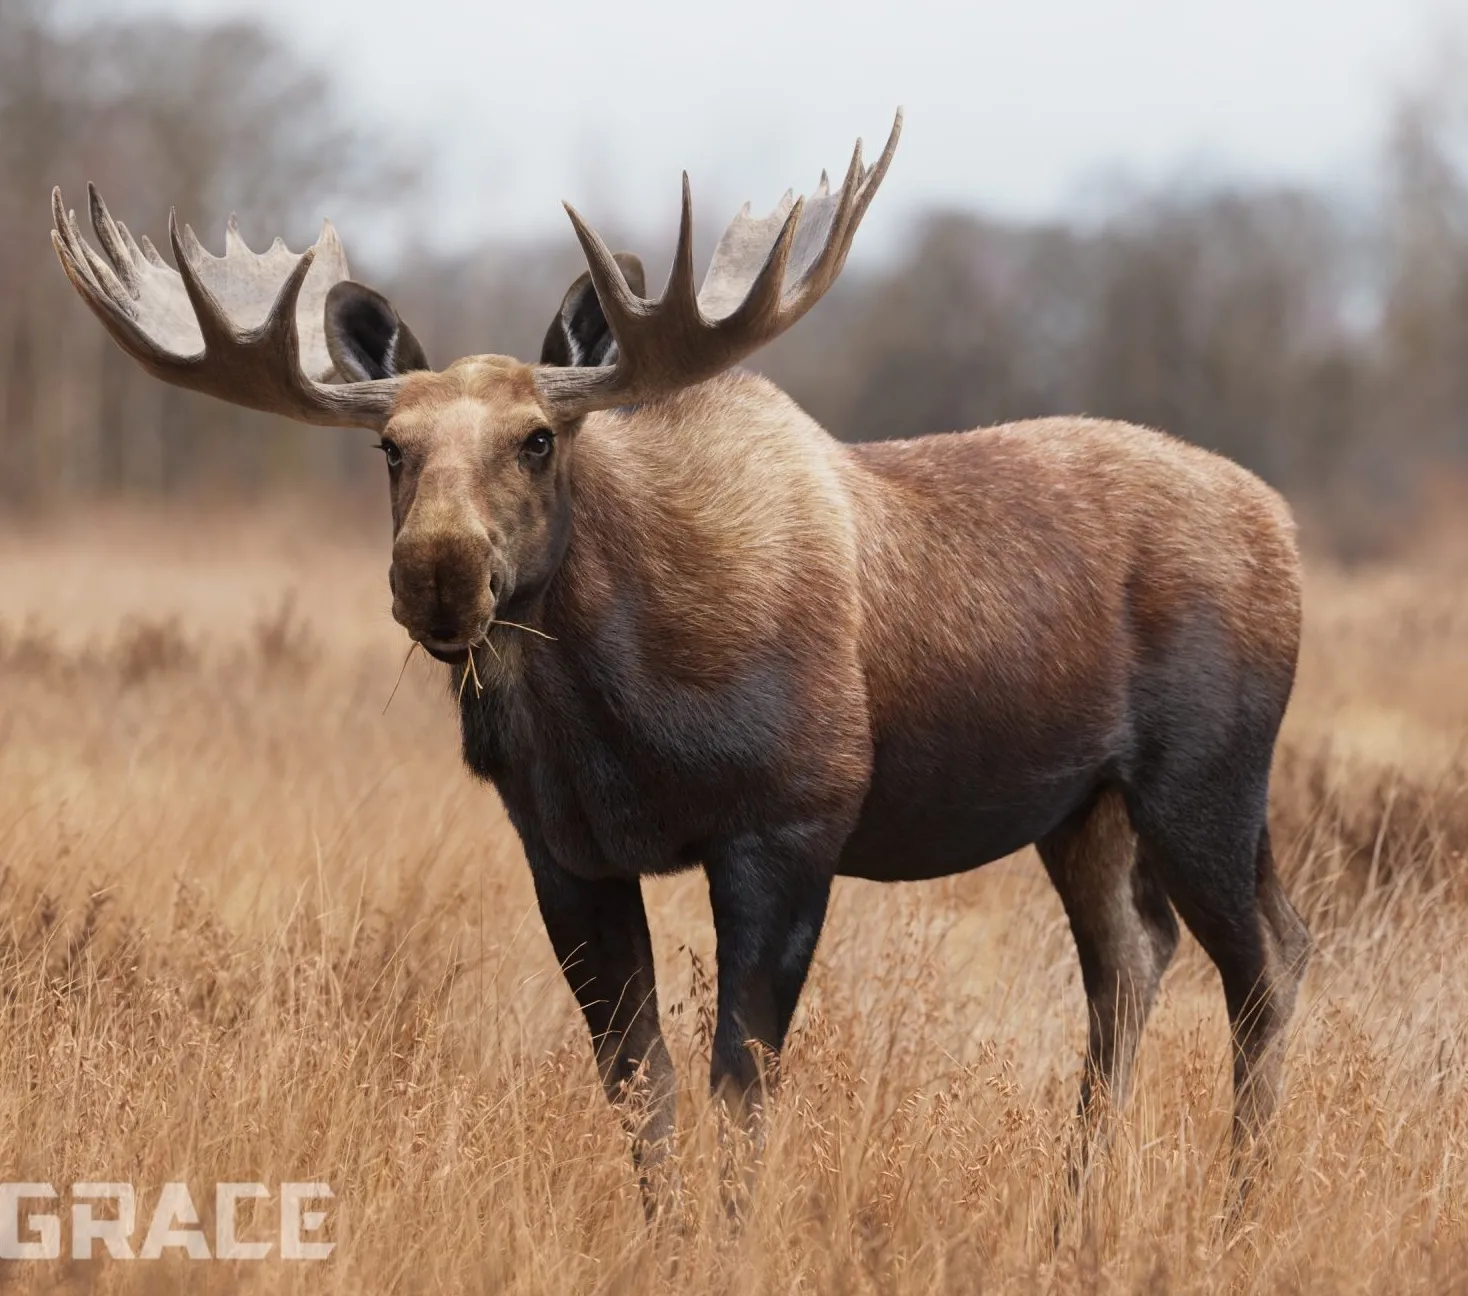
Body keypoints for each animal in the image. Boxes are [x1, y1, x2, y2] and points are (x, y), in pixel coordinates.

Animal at [50, 110, 1311, 1220]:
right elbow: (637, 1083)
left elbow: (738, 1085)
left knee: (1267, 960)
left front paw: (733, 1236)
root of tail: (1284, 525)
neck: (613, 717)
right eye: (391, 448)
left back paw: (1237, 1209)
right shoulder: (565, 853)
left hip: (1206, 778)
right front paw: (664, 1234)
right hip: (1081, 808)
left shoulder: (788, 826)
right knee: (1131, 964)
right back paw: (1077, 1215)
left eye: (538, 438)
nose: (437, 573)